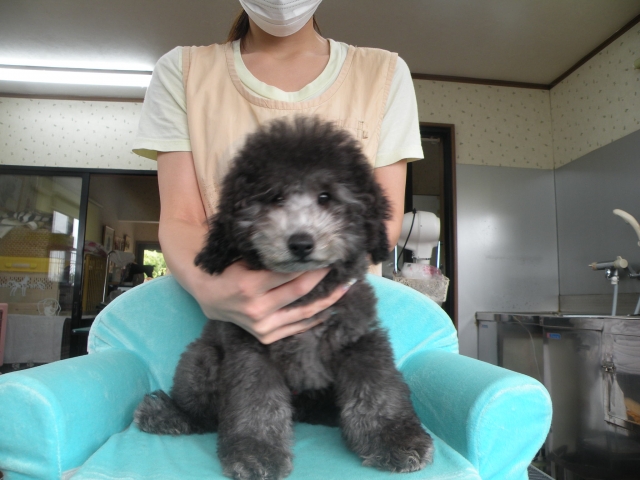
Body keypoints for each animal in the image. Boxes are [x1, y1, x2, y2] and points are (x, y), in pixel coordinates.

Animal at [134, 116, 433, 479]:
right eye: (273, 197)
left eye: (325, 196)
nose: (301, 242)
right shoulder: (251, 351)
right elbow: (256, 405)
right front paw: (256, 453)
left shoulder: (359, 338)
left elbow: (376, 389)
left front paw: (394, 438)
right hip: (201, 359)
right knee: (201, 411)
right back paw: (171, 414)